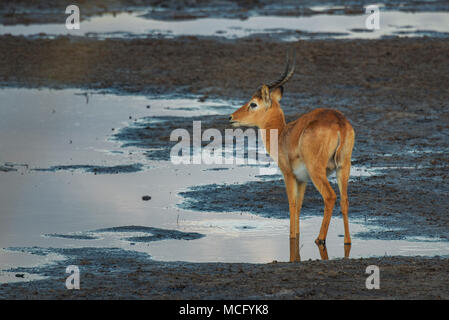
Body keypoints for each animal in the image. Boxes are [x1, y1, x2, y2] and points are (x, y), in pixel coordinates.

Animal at [229, 50, 356, 260]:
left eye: (253, 104)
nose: (231, 117)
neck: (282, 134)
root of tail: (339, 123)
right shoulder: (302, 179)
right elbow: (300, 205)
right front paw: (297, 235)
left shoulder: (288, 174)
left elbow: (292, 203)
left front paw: (292, 237)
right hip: (343, 167)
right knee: (345, 200)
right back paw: (347, 241)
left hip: (317, 171)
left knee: (330, 196)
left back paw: (320, 239)